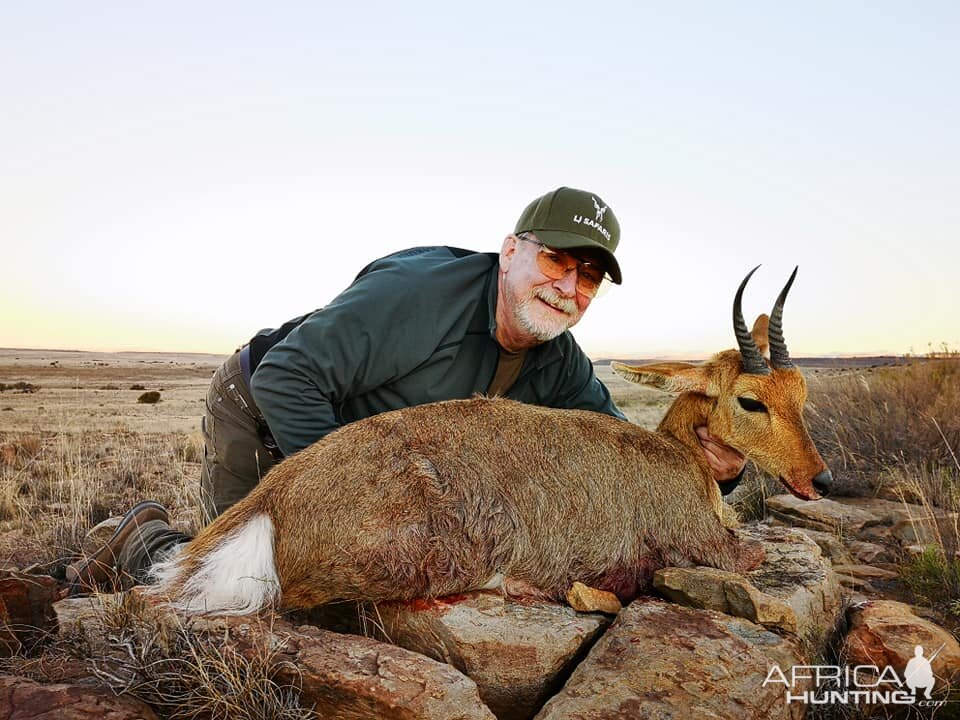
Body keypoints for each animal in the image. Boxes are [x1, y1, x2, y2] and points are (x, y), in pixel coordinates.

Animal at [148, 268, 824, 616]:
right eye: (751, 400)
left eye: (801, 392)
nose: (817, 478)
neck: (680, 457)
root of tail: (271, 499)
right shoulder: (711, 547)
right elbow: (751, 555)